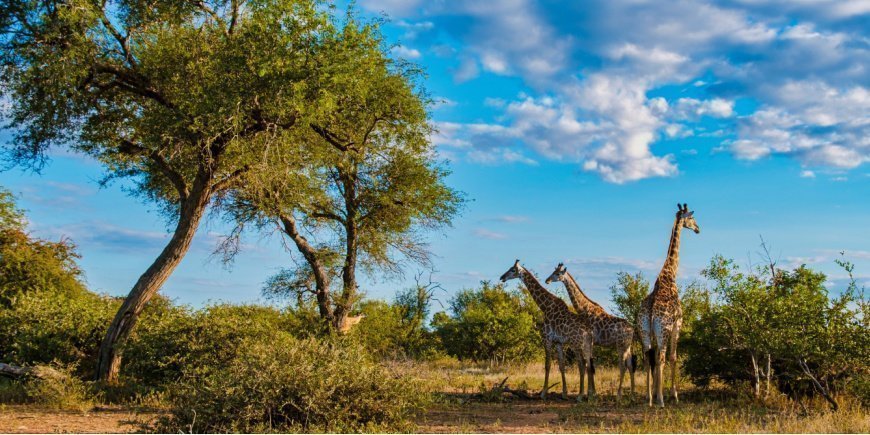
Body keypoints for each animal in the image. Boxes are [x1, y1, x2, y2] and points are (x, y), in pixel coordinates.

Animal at [500, 260, 596, 400]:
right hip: (588, 345)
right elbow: (561, 366)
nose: (502, 277)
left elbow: (547, 365)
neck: (545, 307)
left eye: (512, 270)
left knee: (582, 365)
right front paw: (564, 393)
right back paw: (590, 395)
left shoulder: (546, 339)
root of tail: (588, 331)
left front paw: (543, 393)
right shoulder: (558, 342)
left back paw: (580, 396)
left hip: (576, 344)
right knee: (589, 365)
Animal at [548, 264, 636, 400]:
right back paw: (631, 395)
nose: (547, 280)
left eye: (557, 273)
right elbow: (591, 365)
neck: (584, 308)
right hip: (628, 346)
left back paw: (618, 395)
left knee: (623, 366)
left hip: (620, 345)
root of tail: (632, 329)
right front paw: (592, 392)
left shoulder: (591, 340)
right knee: (630, 366)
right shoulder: (591, 342)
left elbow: (589, 365)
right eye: (554, 271)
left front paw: (590, 393)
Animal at [640, 204, 700, 408]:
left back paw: (649, 398)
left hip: (644, 330)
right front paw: (674, 395)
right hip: (663, 329)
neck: (669, 275)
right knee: (662, 358)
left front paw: (655, 393)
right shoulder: (677, 324)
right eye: (692, 218)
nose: (698, 229)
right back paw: (661, 400)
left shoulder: (655, 331)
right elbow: (674, 357)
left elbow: (655, 358)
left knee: (648, 356)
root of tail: (651, 311)